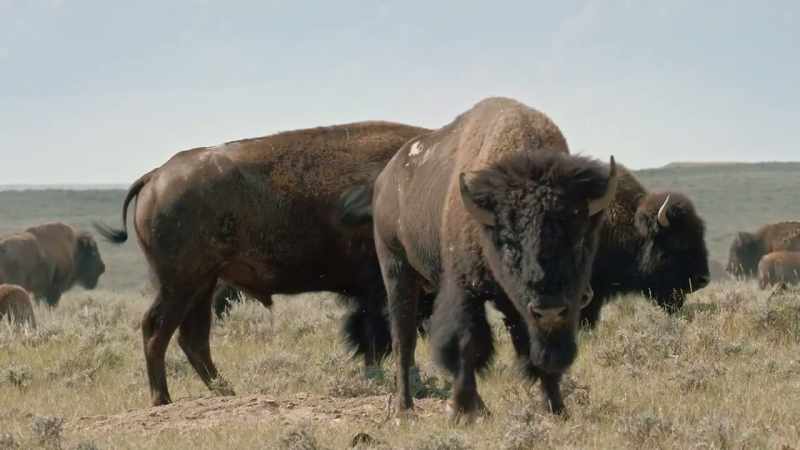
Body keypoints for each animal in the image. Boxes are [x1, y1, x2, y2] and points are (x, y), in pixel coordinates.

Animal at [94, 121, 430, 406]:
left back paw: (225, 392)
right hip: (181, 284)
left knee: (191, 338)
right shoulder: (380, 290)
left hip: (202, 286)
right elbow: (386, 337)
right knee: (157, 330)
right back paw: (163, 399)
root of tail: (155, 176)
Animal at [342, 97, 618, 420]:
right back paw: (405, 410)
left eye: (579, 239)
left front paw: (557, 410)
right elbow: (467, 344)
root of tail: (385, 181)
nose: (549, 308)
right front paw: (461, 412)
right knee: (404, 340)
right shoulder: (465, 291)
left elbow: (537, 351)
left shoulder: (535, 310)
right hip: (397, 270)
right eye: (509, 243)